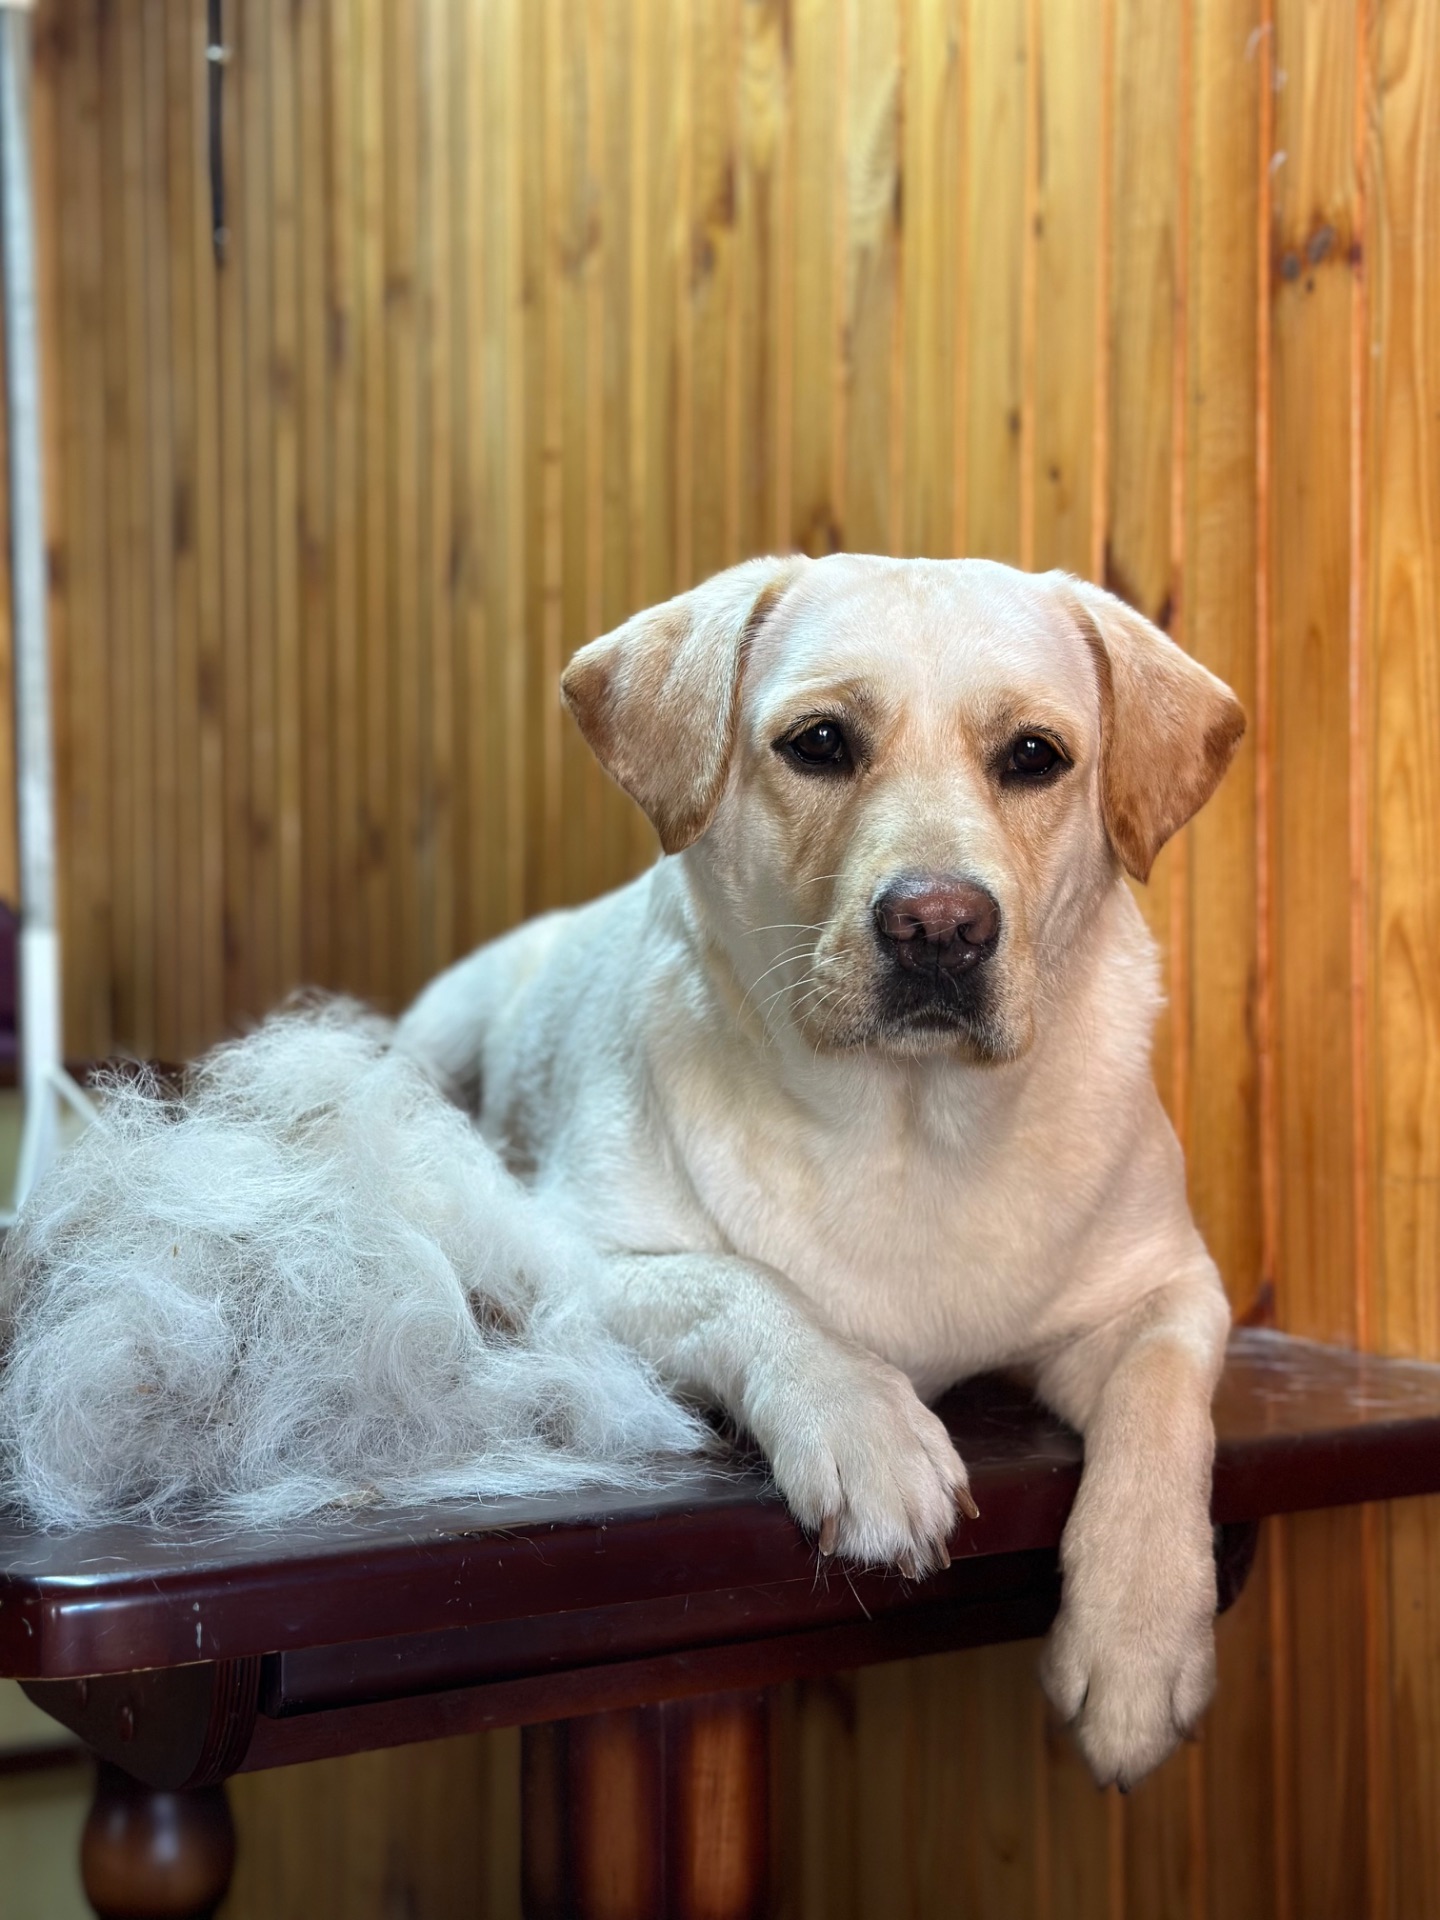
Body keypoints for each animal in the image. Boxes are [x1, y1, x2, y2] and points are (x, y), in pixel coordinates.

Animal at [401, 556, 1244, 1781]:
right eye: (821, 743)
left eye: (1034, 756)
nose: (940, 926)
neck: (908, 1130)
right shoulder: (568, 1260)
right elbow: (750, 1288)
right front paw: (862, 1424)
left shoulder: (1171, 1287)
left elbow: (1163, 1403)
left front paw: (1139, 1640)